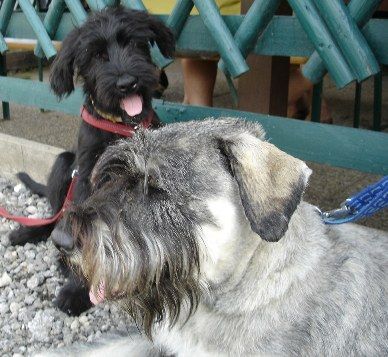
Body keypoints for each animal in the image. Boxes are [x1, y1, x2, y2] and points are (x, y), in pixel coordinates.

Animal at [8, 6, 175, 314]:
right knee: (55, 217)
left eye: (134, 43)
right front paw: (77, 289)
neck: (121, 126)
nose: (127, 83)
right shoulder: (86, 177)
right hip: (63, 164)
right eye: (96, 55)